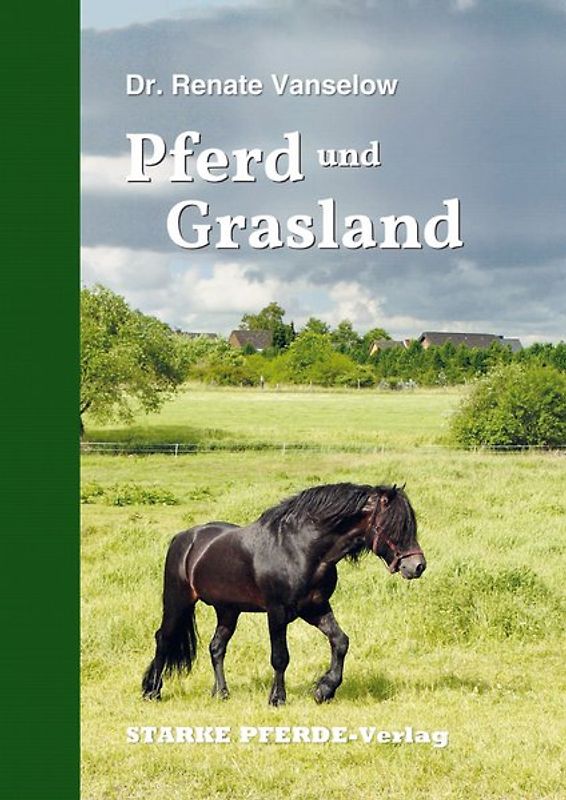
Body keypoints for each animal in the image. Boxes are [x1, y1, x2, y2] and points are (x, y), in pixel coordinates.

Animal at [142, 481, 426, 705]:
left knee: (216, 647)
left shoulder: (316, 608)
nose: (417, 566)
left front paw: (324, 690)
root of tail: (184, 538)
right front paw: (277, 698)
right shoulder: (277, 612)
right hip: (178, 601)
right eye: (395, 527)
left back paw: (221, 692)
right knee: (163, 638)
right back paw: (152, 691)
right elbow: (280, 657)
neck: (301, 549)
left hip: (228, 610)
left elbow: (340, 641)